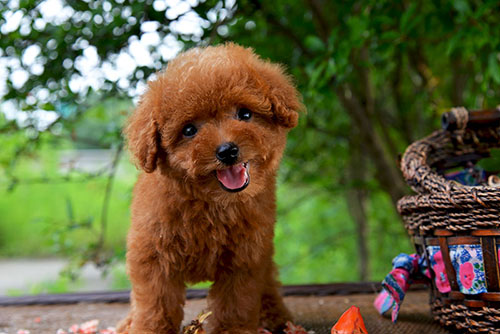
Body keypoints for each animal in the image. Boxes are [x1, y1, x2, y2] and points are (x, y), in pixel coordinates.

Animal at [117, 42, 302, 334]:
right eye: (189, 130)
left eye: (244, 114)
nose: (227, 151)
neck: (210, 202)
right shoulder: (153, 256)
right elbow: (155, 303)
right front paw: (148, 328)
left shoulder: (245, 257)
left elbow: (236, 302)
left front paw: (233, 330)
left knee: (269, 281)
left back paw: (276, 316)